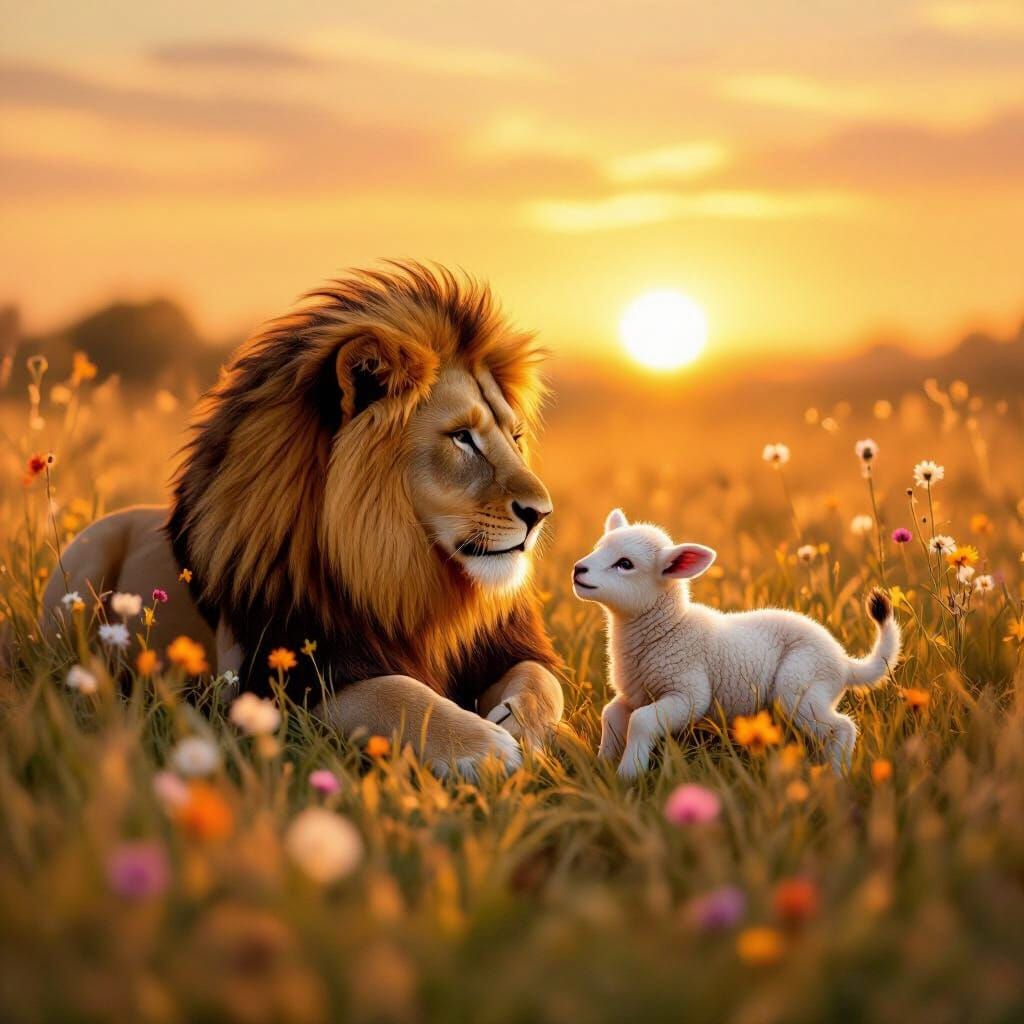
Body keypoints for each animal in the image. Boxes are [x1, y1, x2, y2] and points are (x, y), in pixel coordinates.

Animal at [42, 262, 564, 775]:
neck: (403, 570)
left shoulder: (506, 647)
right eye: (461, 437)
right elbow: (395, 692)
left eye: (515, 437)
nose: (541, 513)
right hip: (85, 561)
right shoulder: (276, 681)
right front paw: (487, 748)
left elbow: (543, 681)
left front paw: (524, 729)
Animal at [572, 509, 901, 779]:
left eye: (625, 564)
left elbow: (640, 722)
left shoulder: (688, 694)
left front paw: (628, 774)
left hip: (801, 685)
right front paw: (601, 767)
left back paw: (836, 776)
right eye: (598, 548)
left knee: (841, 728)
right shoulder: (635, 693)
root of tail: (844, 662)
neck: (668, 629)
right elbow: (611, 716)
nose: (578, 570)